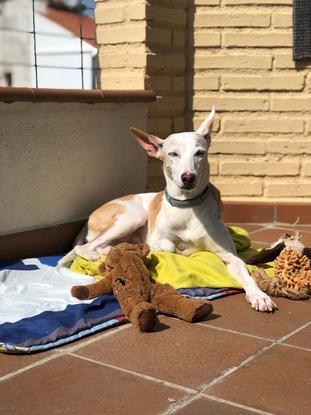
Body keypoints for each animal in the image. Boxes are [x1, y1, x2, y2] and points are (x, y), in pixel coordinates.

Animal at [61, 107, 276, 312]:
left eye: (200, 153)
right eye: (173, 154)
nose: (188, 177)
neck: (187, 206)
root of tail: (89, 219)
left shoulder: (230, 255)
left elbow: (246, 274)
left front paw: (259, 295)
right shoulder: (156, 237)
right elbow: (168, 245)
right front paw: (170, 250)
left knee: (106, 245)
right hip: (133, 216)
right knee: (85, 247)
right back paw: (99, 253)